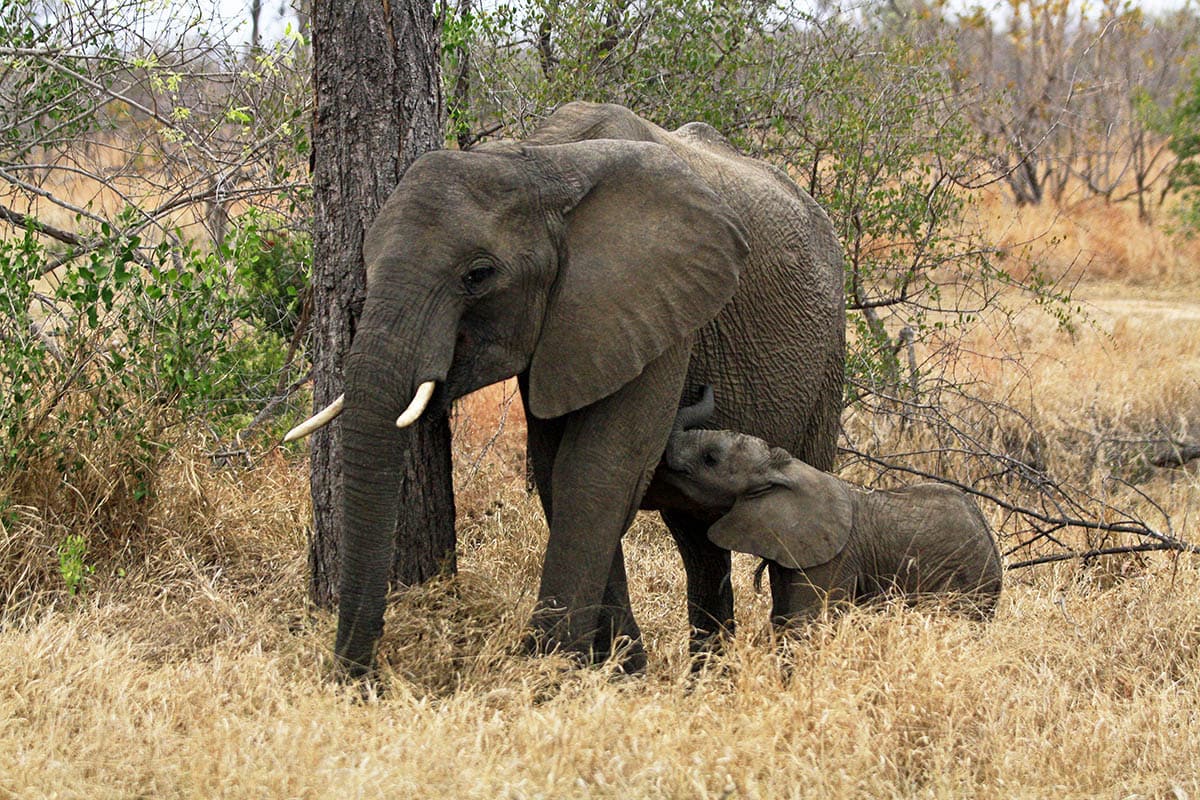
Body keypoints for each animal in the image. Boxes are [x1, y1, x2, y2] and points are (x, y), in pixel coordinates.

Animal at [289, 101, 844, 676]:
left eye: (478, 276)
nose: (359, 677)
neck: (543, 162)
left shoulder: (657, 306)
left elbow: (599, 467)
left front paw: (545, 671)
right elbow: (556, 466)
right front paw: (618, 670)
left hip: (827, 356)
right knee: (700, 542)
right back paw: (706, 678)